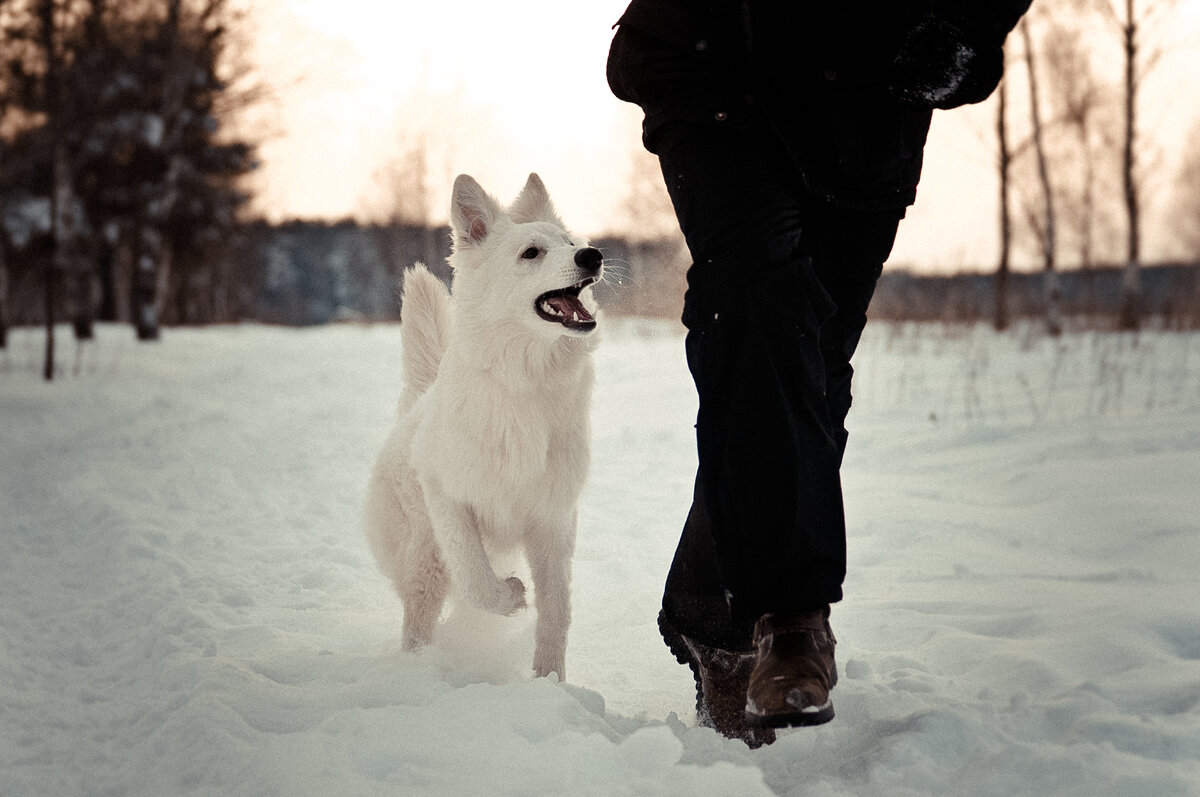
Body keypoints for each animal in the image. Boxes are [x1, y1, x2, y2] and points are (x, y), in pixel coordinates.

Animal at [364, 172, 604, 676]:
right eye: (531, 253)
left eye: (571, 243)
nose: (592, 255)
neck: (524, 382)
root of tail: (417, 400)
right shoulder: (448, 498)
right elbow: (476, 578)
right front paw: (510, 595)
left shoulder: (553, 518)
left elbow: (557, 611)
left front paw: (550, 681)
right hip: (424, 559)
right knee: (419, 621)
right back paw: (418, 668)